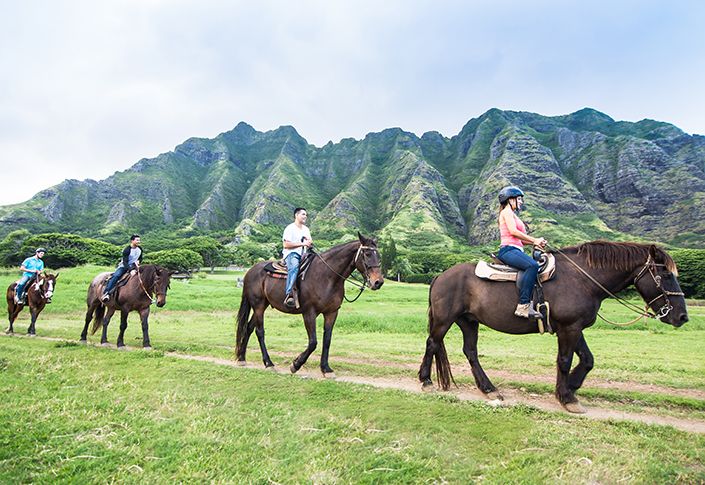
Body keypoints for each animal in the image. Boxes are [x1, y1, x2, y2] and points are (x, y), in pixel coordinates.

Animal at [418, 241, 688, 412]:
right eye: (666, 275)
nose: (683, 316)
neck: (583, 279)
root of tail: (441, 275)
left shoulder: (574, 328)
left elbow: (587, 360)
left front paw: (572, 386)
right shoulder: (569, 328)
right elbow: (565, 361)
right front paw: (566, 397)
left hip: (469, 321)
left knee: (471, 352)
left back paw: (489, 388)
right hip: (444, 320)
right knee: (433, 343)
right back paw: (426, 381)